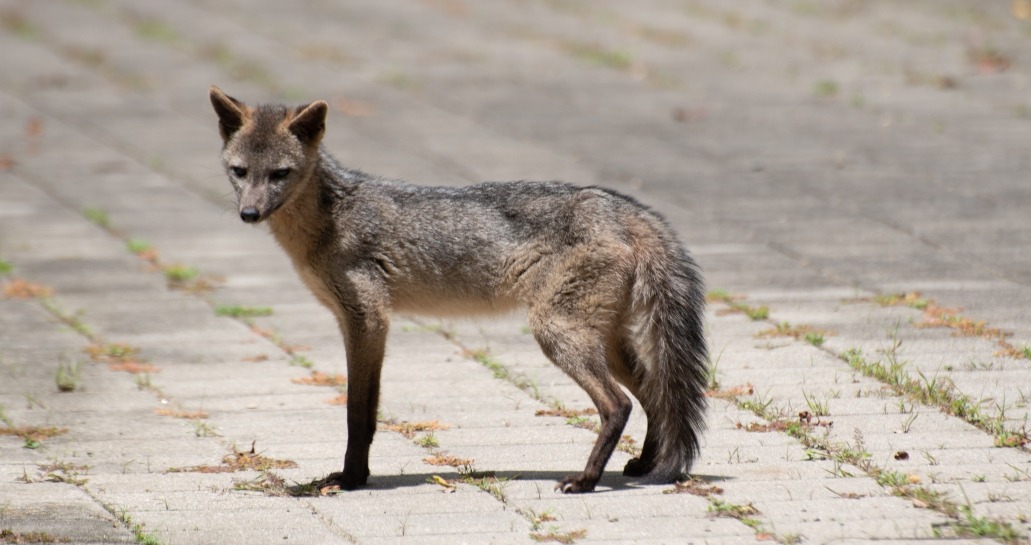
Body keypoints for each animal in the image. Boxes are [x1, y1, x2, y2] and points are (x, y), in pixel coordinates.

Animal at [209, 86, 708, 493]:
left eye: (280, 174)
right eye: (240, 171)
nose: (249, 214)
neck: (331, 220)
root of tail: (621, 207)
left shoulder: (368, 321)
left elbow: (358, 414)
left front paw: (351, 480)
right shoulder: (363, 324)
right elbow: (364, 412)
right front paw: (357, 476)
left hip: (558, 335)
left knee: (619, 405)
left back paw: (585, 481)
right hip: (604, 343)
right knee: (656, 396)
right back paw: (644, 465)